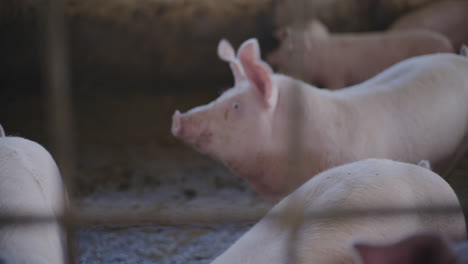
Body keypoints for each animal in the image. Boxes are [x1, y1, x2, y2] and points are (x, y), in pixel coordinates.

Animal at [266, 19, 454, 89]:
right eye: (282, 43)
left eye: (290, 50)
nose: (270, 57)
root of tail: (449, 45)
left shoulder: (336, 76)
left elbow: (336, 87)